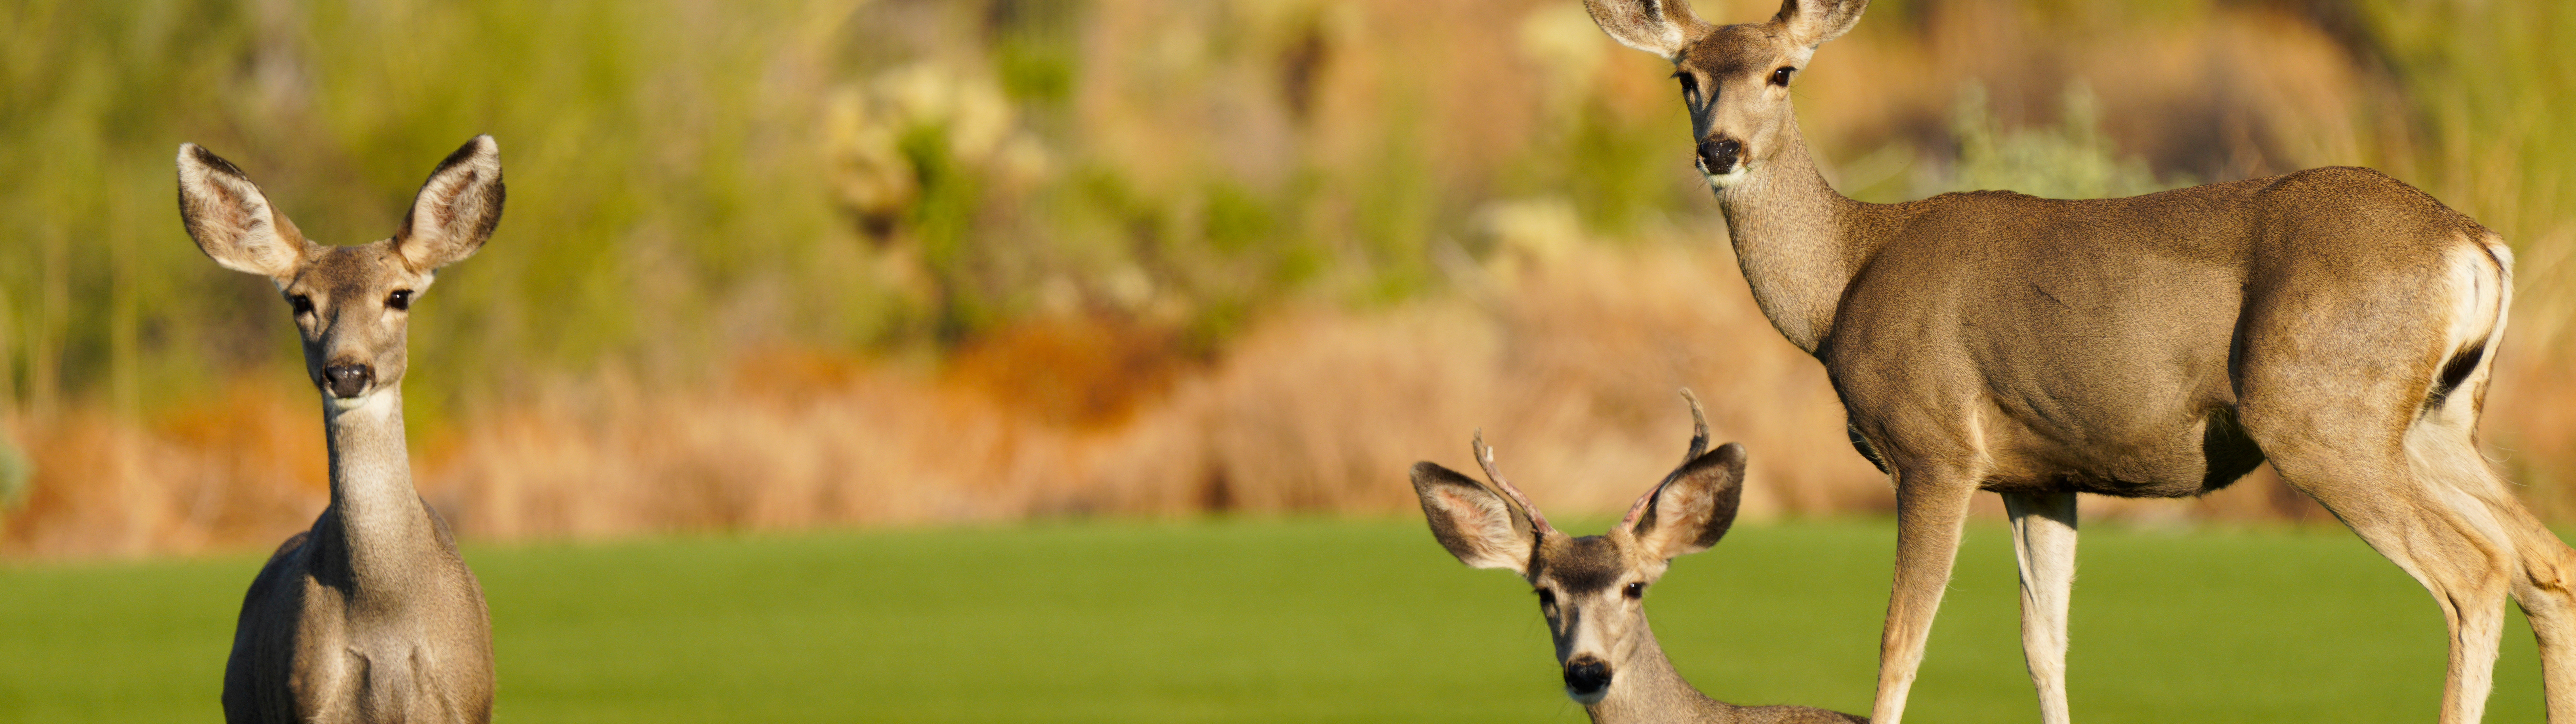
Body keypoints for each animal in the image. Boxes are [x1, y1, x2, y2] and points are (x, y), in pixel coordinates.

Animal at [179, 136, 505, 721]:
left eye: (399, 295)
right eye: (301, 301)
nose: (348, 371)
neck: (384, 613)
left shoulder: (464, 703)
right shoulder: (311, 702)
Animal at [1566, 1, 2576, 721]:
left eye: (1782, 72)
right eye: (1685, 77)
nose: (1719, 150)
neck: (1842, 279)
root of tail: (2475, 244)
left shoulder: (1936, 448)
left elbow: (1900, 641)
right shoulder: (2040, 472)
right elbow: (2043, 646)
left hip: (2319, 411)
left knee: (2473, 575)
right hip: (2438, 420)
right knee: (2545, 562)